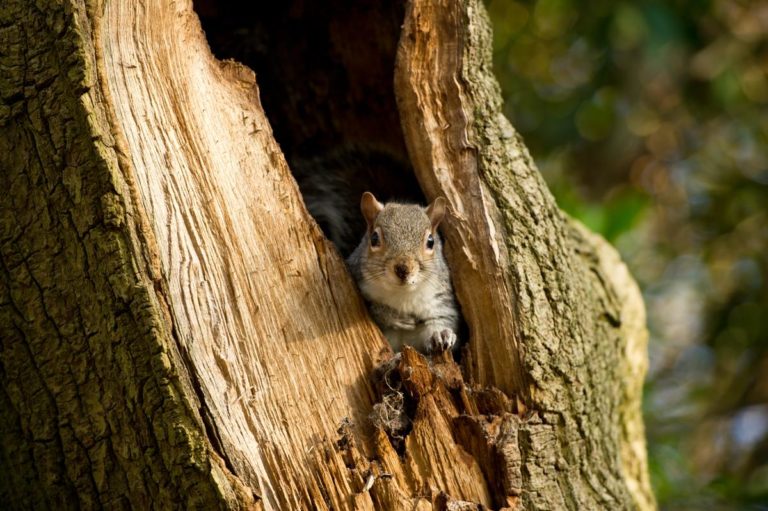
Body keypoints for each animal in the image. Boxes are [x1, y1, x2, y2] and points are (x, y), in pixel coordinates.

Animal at [346, 191, 460, 352]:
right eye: (374, 238)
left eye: (431, 241)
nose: (403, 269)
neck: (402, 294)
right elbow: (373, 309)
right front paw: (393, 317)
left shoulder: (440, 302)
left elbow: (441, 320)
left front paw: (441, 334)